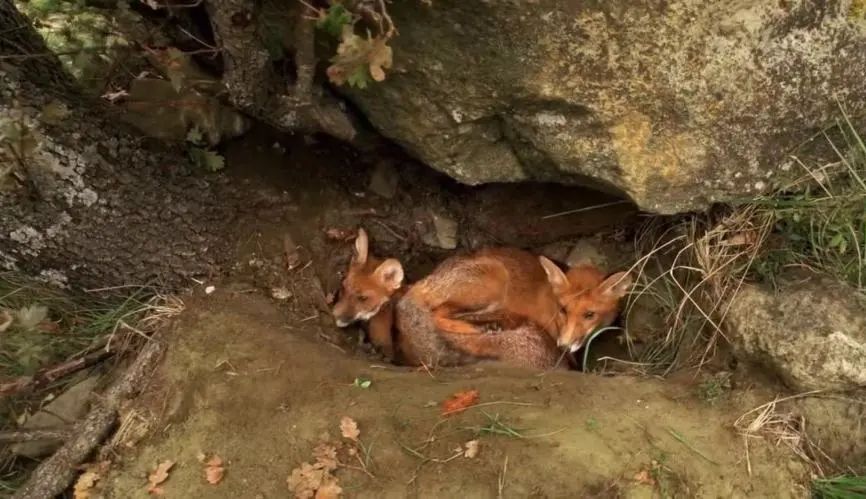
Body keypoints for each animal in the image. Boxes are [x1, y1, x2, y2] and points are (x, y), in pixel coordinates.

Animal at [330, 229, 628, 370]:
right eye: (564, 310)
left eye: (589, 314)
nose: (565, 343)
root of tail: (427, 278)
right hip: (494, 282)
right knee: (440, 315)